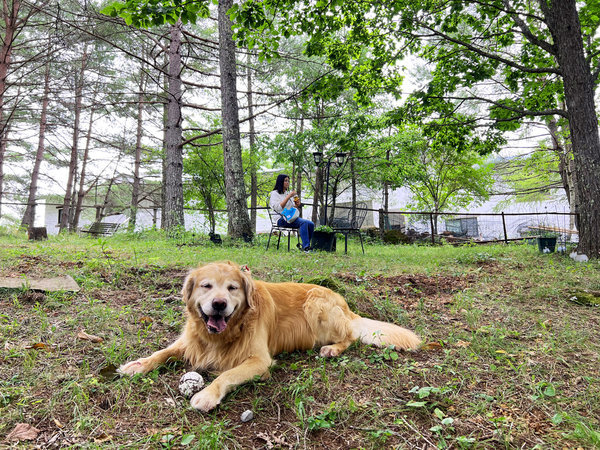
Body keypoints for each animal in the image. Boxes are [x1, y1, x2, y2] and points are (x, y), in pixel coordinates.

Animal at [119, 260, 420, 412]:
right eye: (206, 286)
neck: (229, 331)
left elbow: (226, 374)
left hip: (316, 304)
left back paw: (332, 349)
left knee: (348, 337)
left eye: (232, 288)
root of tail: (345, 305)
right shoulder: (192, 341)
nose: (219, 304)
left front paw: (206, 394)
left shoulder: (258, 360)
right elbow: (162, 352)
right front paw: (137, 365)